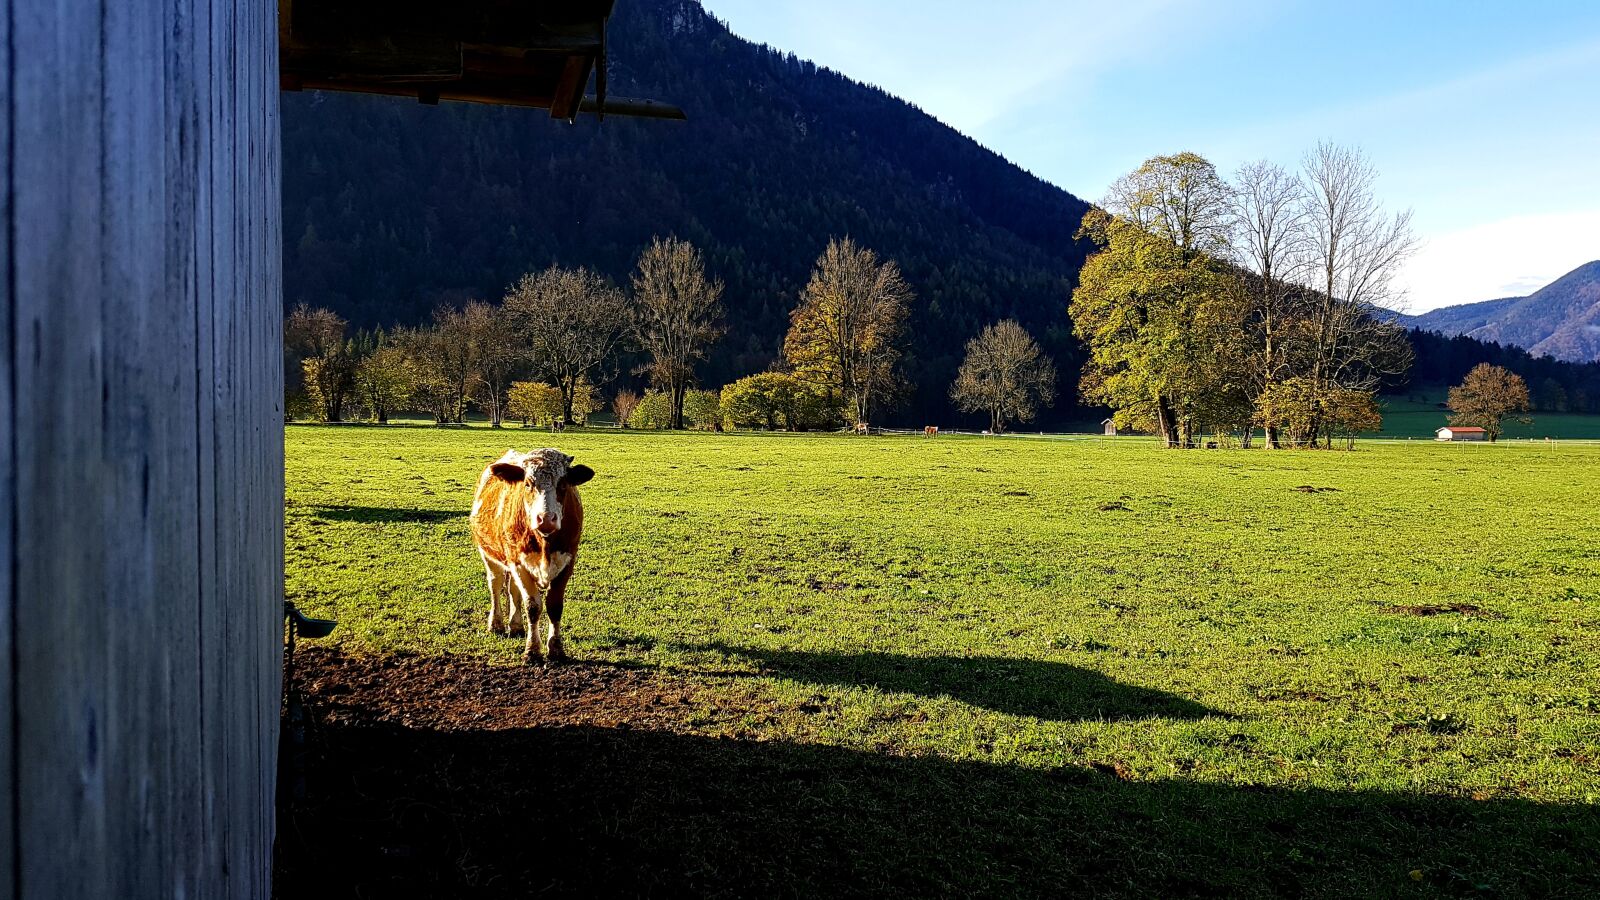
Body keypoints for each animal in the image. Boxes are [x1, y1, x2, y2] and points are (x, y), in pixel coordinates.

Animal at [470, 448, 595, 663]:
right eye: (528, 484)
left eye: (563, 484)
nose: (546, 519)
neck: (545, 543)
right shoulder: (519, 564)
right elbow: (533, 607)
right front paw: (533, 650)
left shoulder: (567, 563)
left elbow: (554, 606)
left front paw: (556, 649)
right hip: (489, 555)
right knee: (495, 585)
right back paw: (496, 624)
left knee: (513, 590)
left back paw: (516, 626)